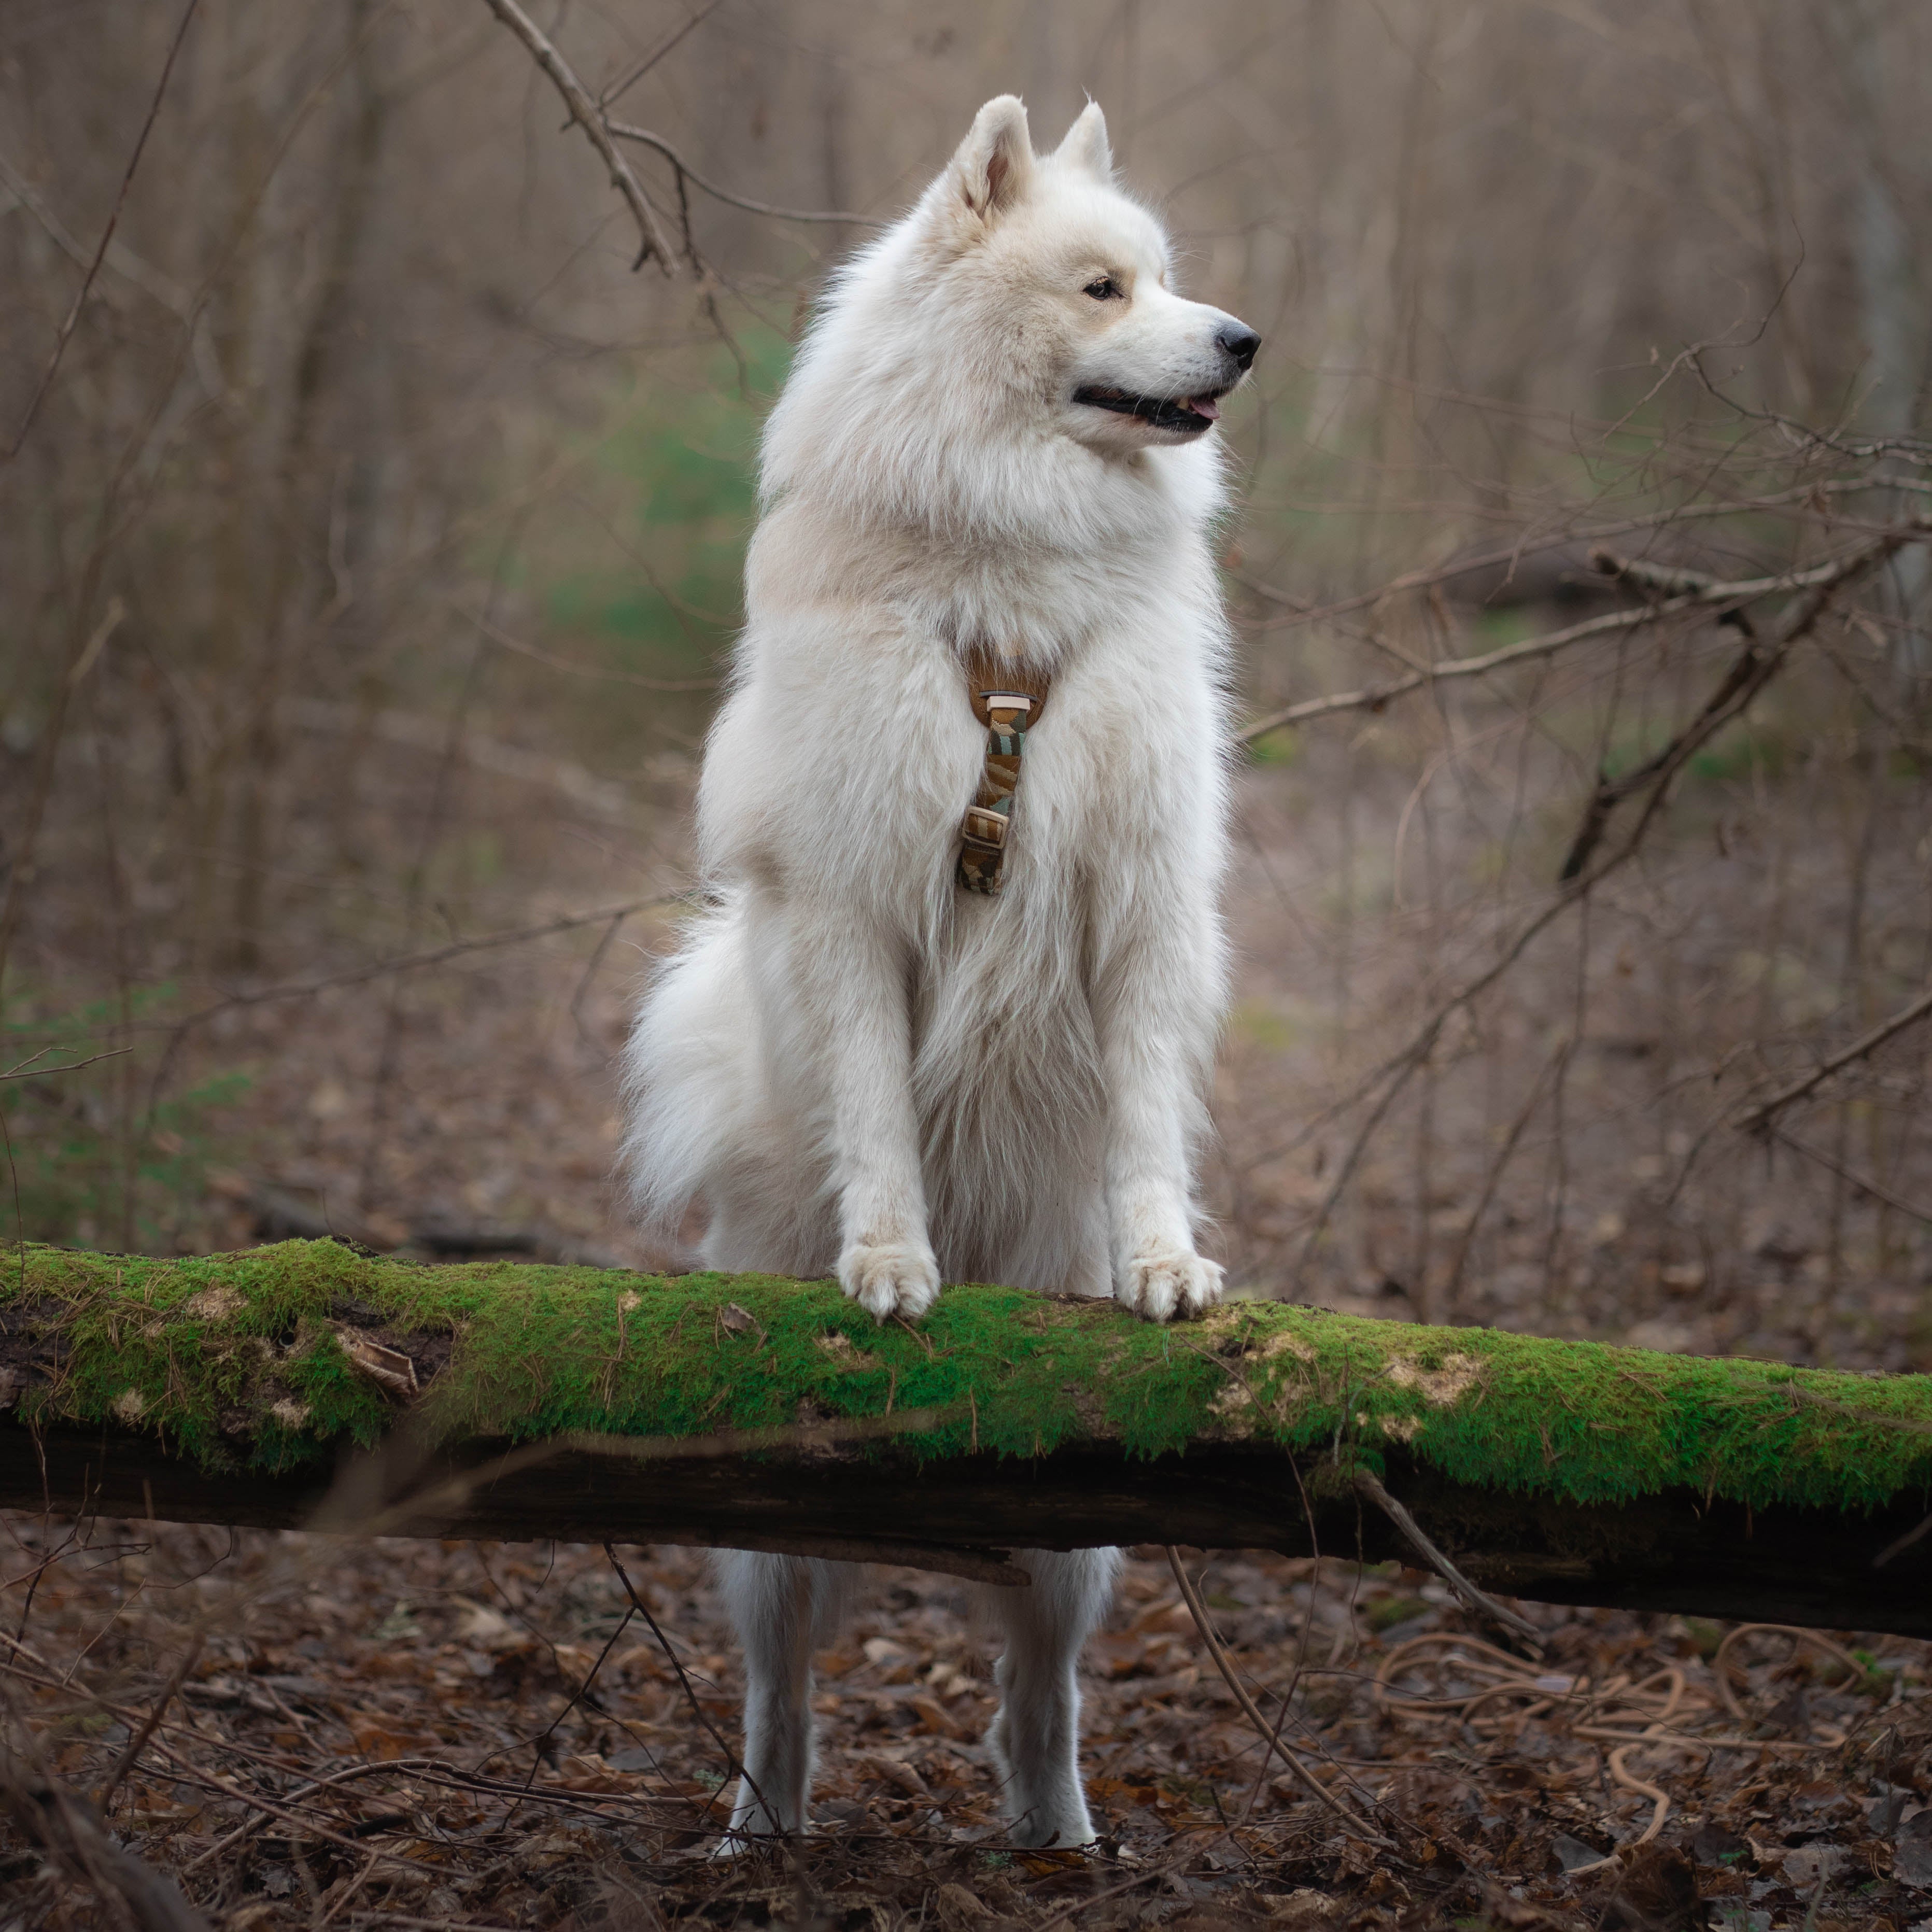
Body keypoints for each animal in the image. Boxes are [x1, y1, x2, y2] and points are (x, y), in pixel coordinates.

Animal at [623, 93, 1256, 1850]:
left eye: (1165, 277)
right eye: (1104, 288)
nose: (1243, 340)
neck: (1009, 575)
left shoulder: (1137, 895)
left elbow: (1145, 1121)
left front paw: (1164, 1263)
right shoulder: (853, 900)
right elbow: (876, 1108)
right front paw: (891, 1258)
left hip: (1073, 1536)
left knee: (1032, 1693)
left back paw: (1062, 1838)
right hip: (763, 1532)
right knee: (780, 1689)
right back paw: (757, 1830)